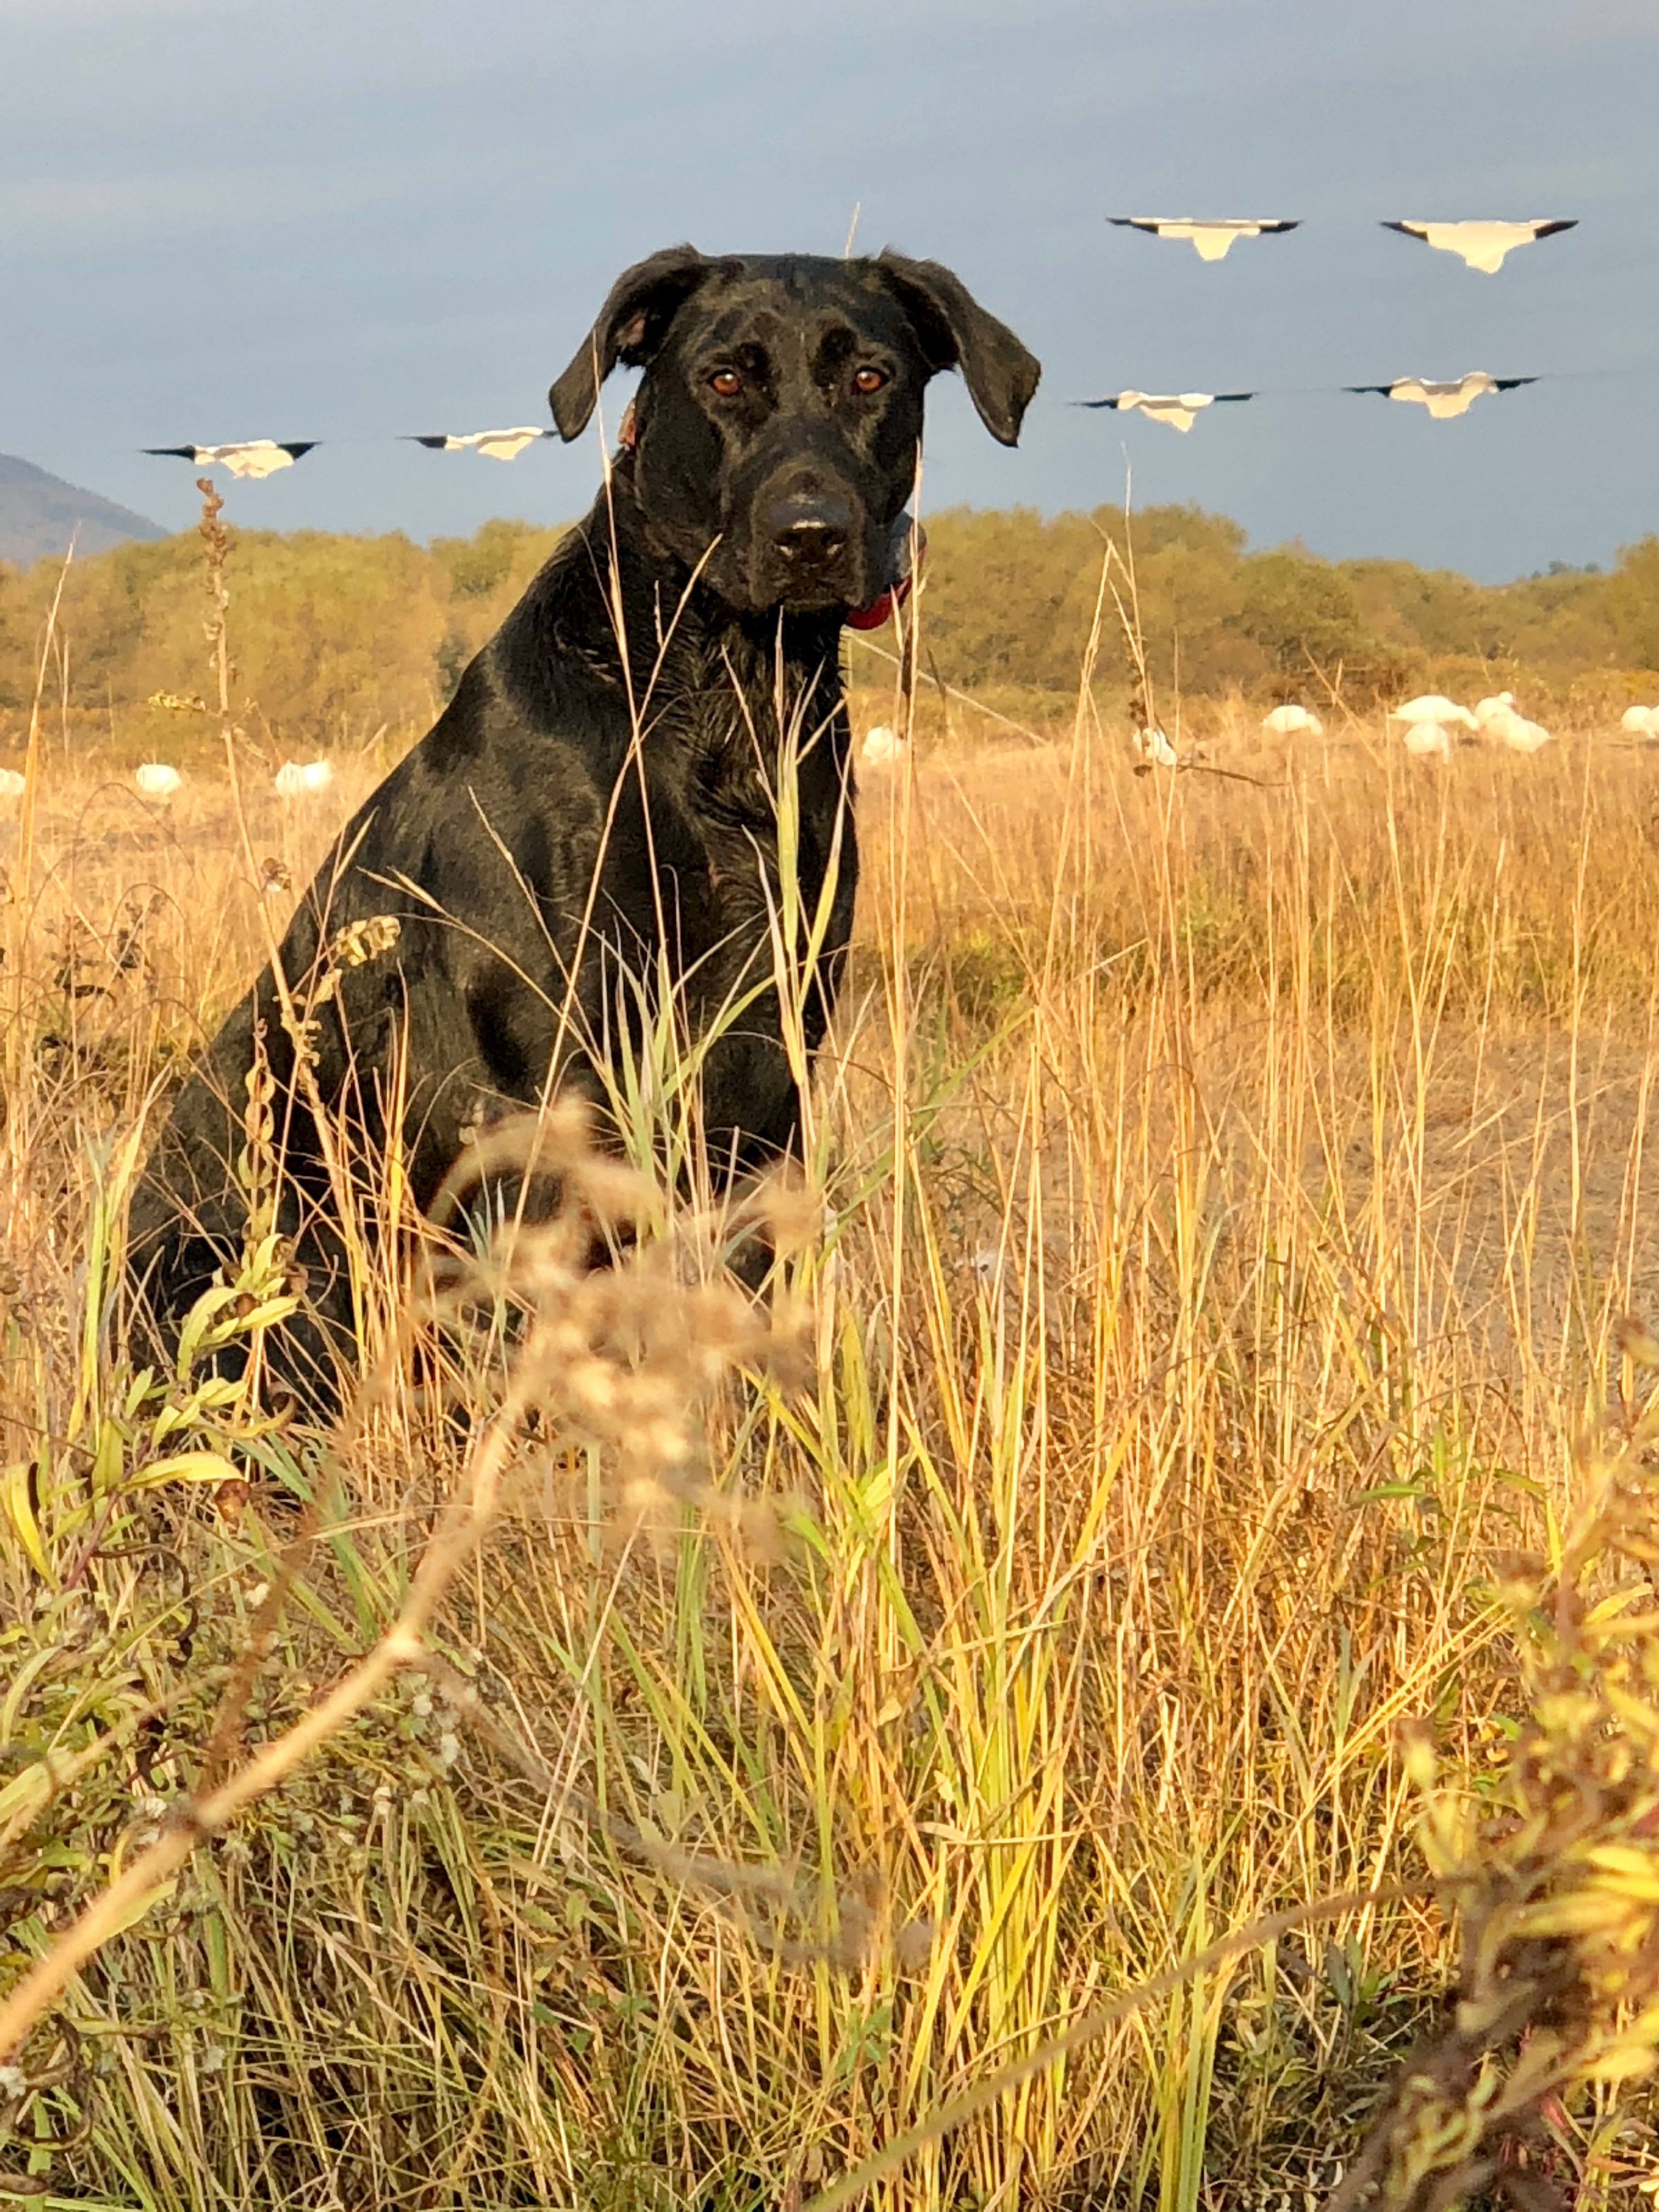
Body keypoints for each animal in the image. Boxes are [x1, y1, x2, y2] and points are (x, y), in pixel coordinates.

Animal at [126, 251, 1040, 1398]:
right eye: (724, 379)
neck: (721, 697)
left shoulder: (769, 1073)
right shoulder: (543, 1091)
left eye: (870, 379)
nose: (811, 535)